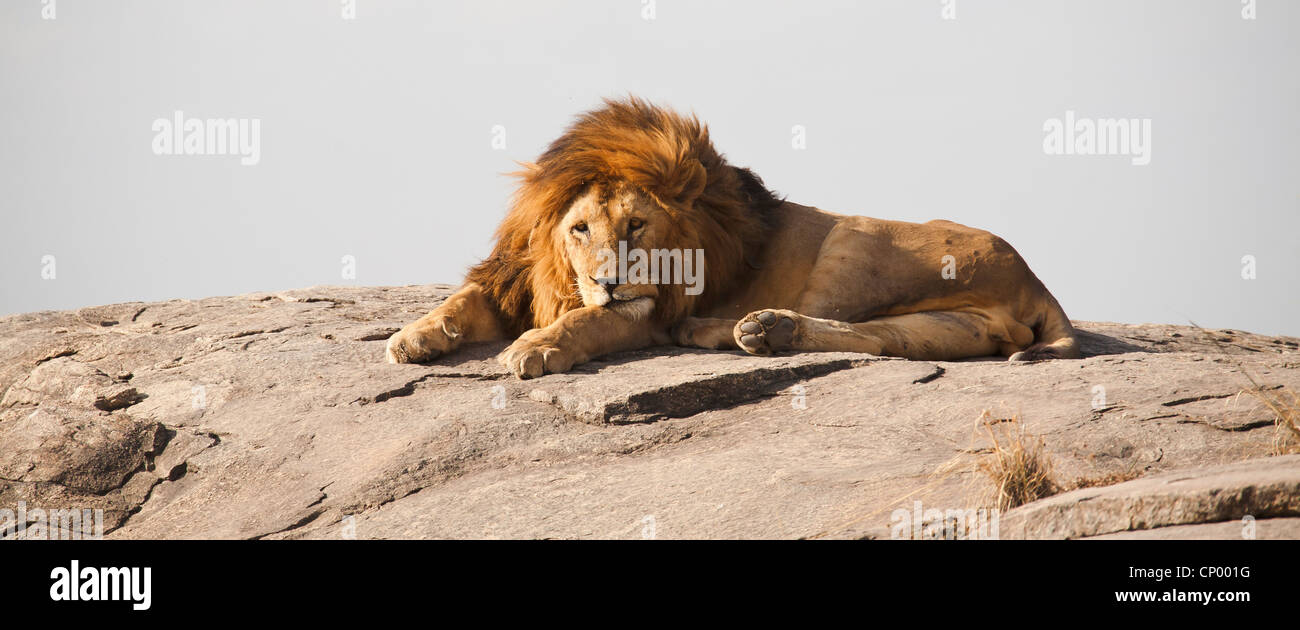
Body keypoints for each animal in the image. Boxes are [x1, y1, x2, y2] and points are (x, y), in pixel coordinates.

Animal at [387, 97, 1080, 378]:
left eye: (636, 225)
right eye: (579, 229)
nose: (608, 281)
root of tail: (1039, 283)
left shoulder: (645, 309)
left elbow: (587, 321)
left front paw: (536, 346)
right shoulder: (515, 278)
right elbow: (460, 300)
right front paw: (412, 338)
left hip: (852, 242)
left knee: (850, 326)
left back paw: (745, 329)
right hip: (954, 322)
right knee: (885, 340)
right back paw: (754, 331)